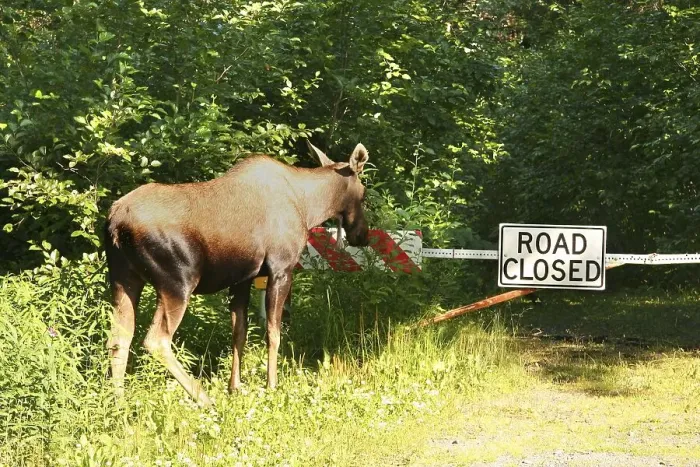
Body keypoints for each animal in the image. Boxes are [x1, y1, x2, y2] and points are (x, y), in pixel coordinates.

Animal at [104, 142, 370, 405]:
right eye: (363, 192)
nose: (362, 235)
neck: (308, 206)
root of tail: (115, 223)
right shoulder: (281, 269)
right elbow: (273, 332)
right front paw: (272, 385)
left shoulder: (243, 278)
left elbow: (239, 333)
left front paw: (235, 387)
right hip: (177, 282)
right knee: (156, 340)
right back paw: (203, 398)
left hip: (123, 279)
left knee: (118, 339)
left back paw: (119, 404)